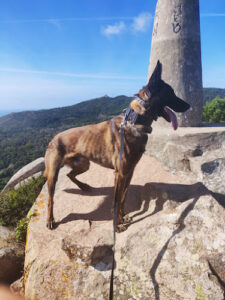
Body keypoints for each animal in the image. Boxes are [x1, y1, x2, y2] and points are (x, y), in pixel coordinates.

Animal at [44, 60, 190, 230]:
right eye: (169, 93)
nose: (188, 106)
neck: (135, 121)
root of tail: (53, 139)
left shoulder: (129, 172)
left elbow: (123, 198)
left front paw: (122, 216)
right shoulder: (120, 173)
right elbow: (117, 199)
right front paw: (118, 224)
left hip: (84, 164)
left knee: (69, 174)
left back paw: (84, 186)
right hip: (53, 174)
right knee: (50, 200)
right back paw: (50, 220)